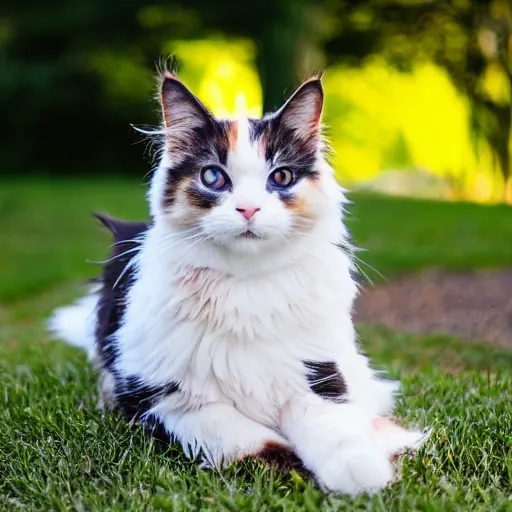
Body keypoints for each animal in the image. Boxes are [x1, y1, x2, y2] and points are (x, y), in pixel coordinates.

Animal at [50, 70, 428, 494]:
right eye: (213, 176)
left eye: (281, 176)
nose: (248, 209)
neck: (246, 288)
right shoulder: (168, 399)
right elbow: (251, 442)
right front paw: (295, 474)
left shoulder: (315, 373)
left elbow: (335, 429)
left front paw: (362, 472)